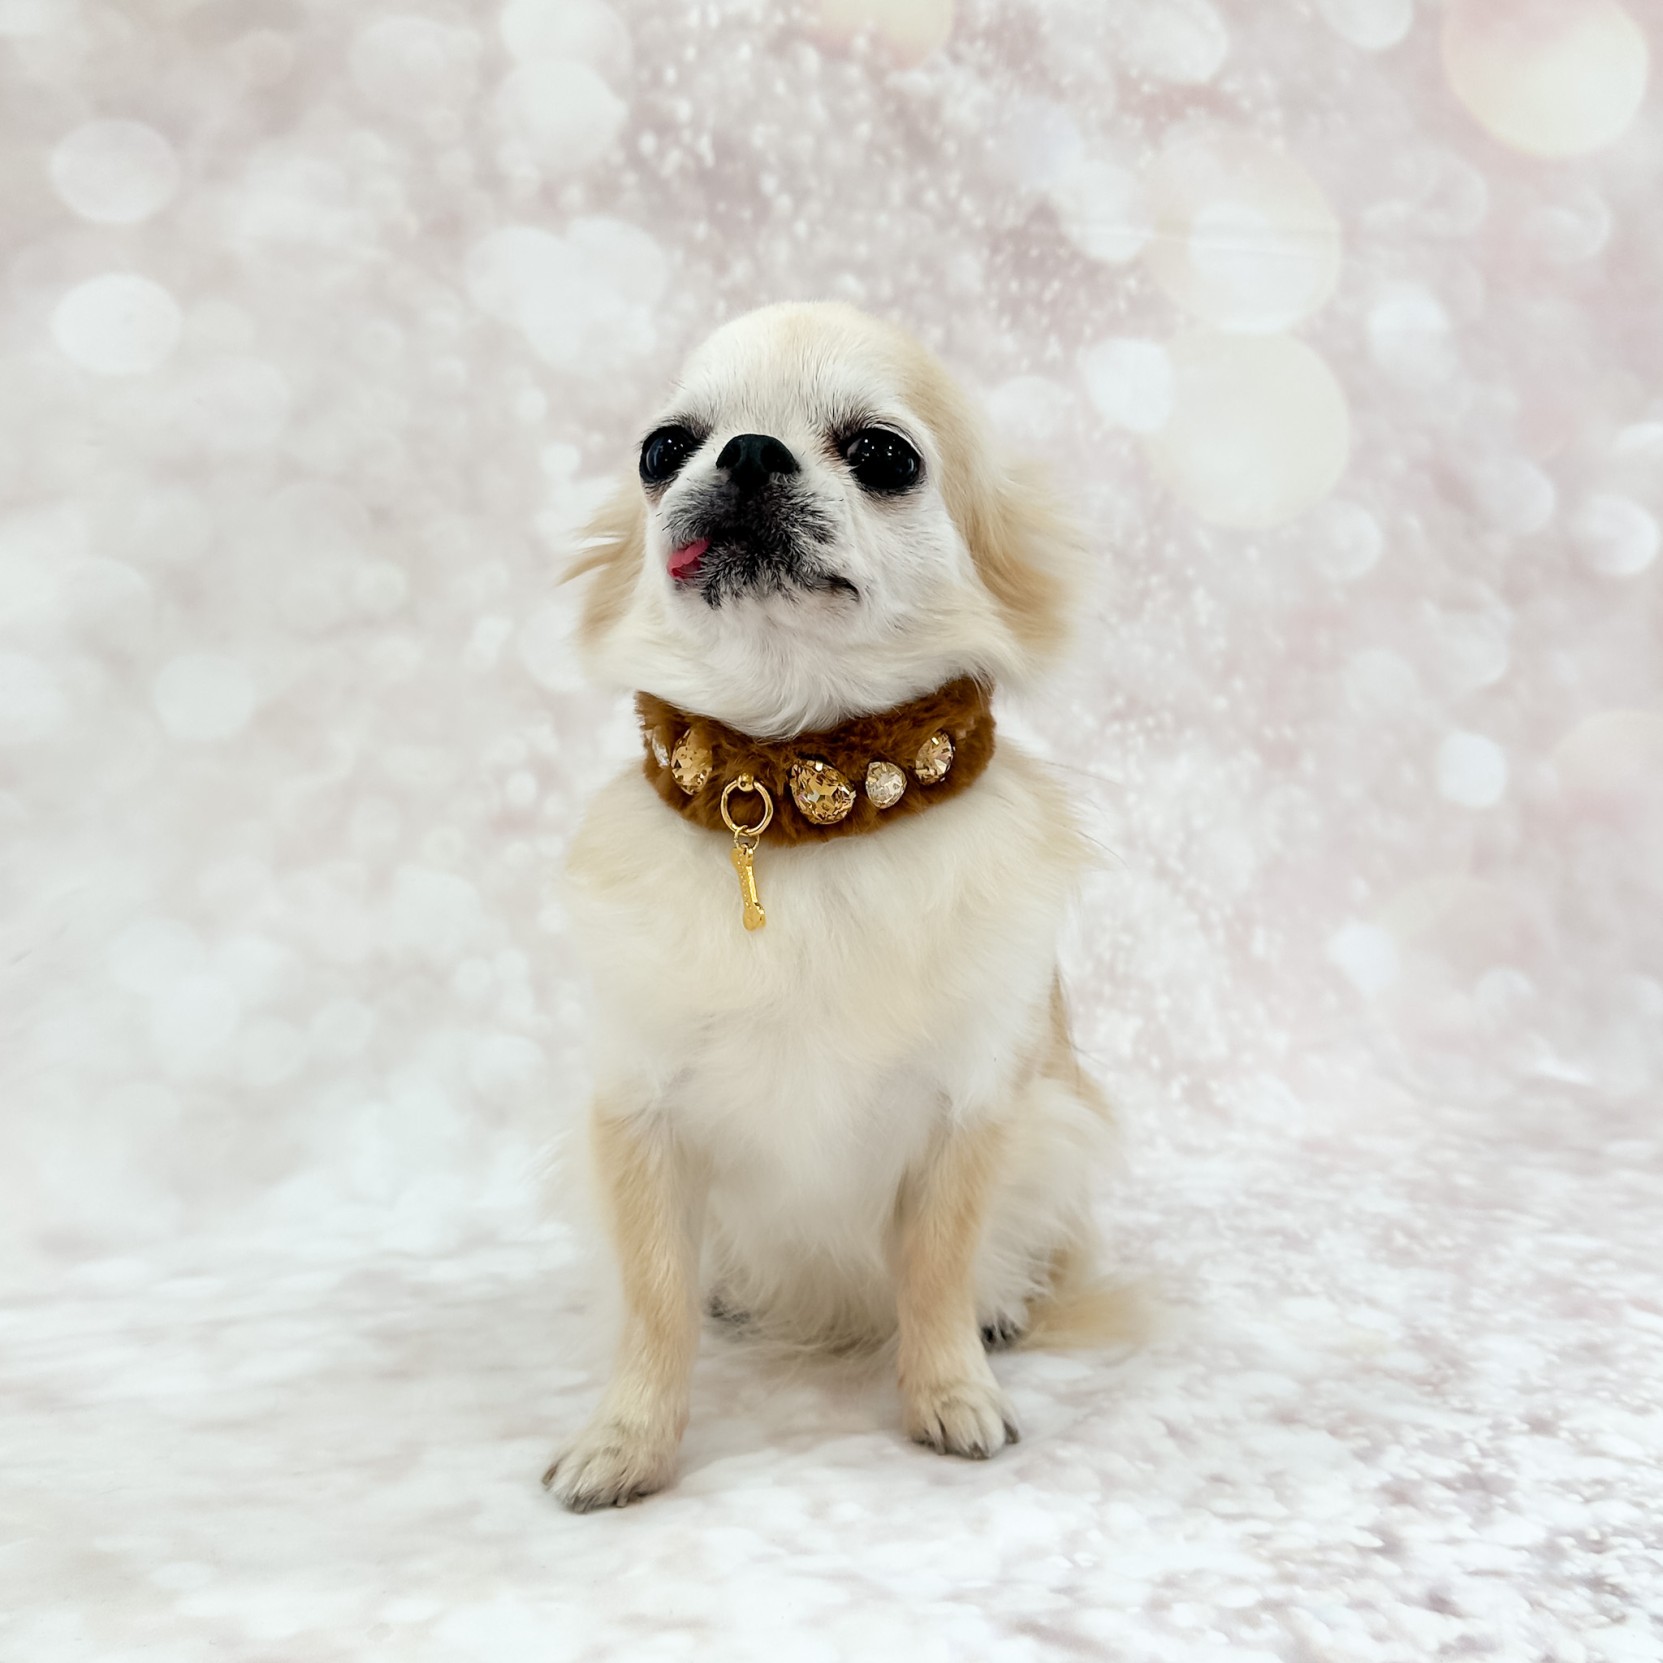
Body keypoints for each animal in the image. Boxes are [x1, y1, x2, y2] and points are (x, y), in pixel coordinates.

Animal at [545, 302, 1113, 1510]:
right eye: (662, 449)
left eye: (884, 455)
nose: (749, 452)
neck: (804, 787)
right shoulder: (639, 1115)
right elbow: (653, 1303)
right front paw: (627, 1439)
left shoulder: (972, 1110)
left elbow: (938, 1269)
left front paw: (949, 1391)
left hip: (1056, 1126)